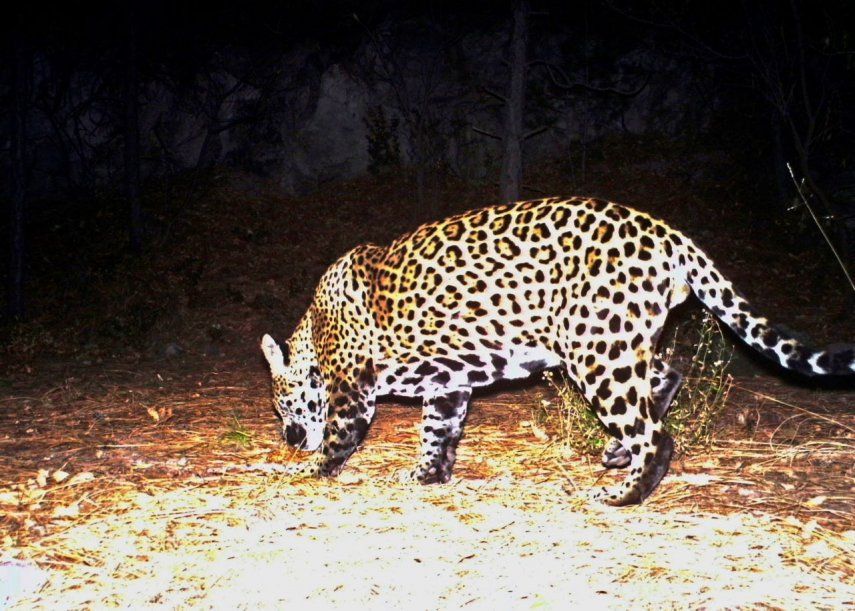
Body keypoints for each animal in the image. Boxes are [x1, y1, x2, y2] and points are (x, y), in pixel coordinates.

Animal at [260, 197, 854, 506]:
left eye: (284, 405)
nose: (287, 437)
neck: (315, 330)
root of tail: (666, 233)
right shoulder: (449, 384)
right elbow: (438, 431)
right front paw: (428, 475)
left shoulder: (351, 389)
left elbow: (339, 436)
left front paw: (306, 470)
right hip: (622, 340)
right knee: (670, 371)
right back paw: (616, 455)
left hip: (598, 352)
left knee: (656, 435)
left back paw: (624, 494)